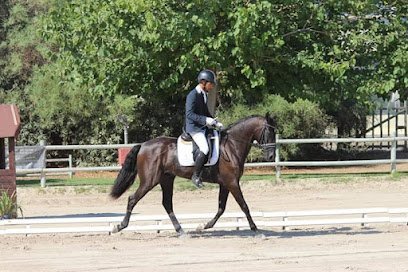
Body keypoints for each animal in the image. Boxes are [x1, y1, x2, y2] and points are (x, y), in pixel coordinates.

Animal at [111, 113, 278, 235]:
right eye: (268, 132)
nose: (271, 157)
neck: (231, 146)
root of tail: (143, 145)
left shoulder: (226, 183)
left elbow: (221, 208)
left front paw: (204, 225)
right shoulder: (232, 182)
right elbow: (244, 205)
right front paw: (255, 229)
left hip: (166, 179)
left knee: (167, 203)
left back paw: (180, 230)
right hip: (149, 181)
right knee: (132, 199)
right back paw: (120, 226)